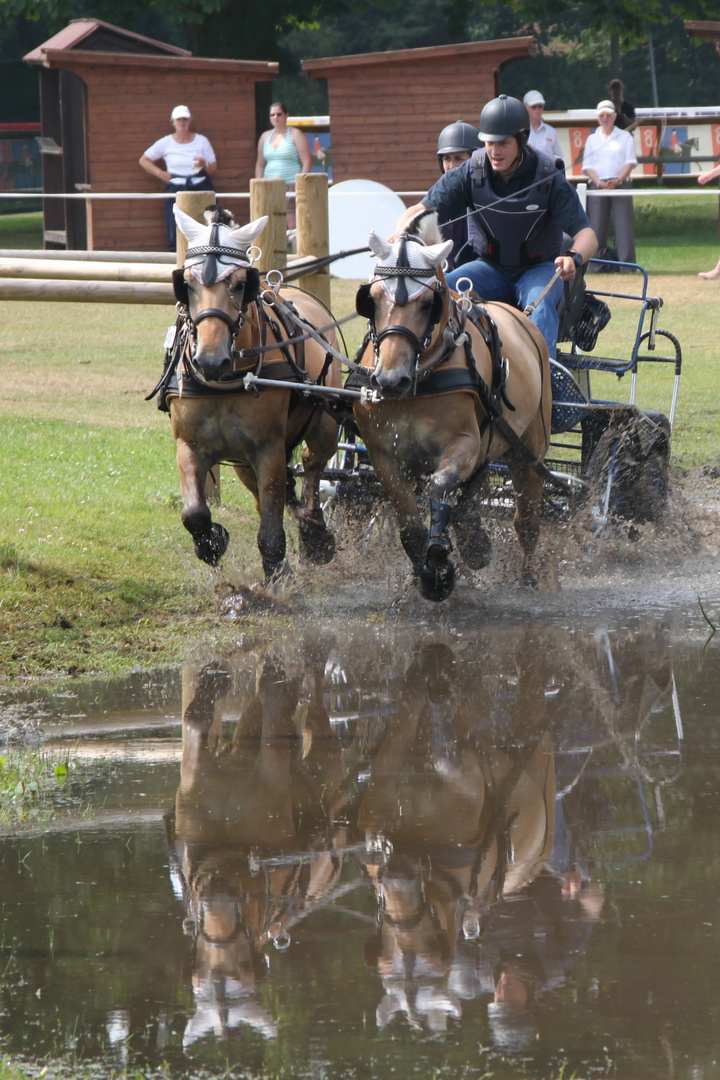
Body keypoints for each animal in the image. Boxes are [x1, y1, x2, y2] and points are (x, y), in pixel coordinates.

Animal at [164, 206, 343, 587]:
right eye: (187, 283)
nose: (210, 360)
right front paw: (212, 541)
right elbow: (194, 513)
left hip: (324, 426)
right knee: (267, 495)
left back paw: (315, 534)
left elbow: (272, 531)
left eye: (238, 284)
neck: (225, 380)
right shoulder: (189, 443)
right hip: (243, 461)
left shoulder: (268, 447)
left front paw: (277, 576)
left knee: (312, 467)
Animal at [354, 210, 552, 600]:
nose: (390, 381)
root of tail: (521, 316)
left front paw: (440, 564)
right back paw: (473, 540)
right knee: (472, 495)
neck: (420, 381)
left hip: (529, 449)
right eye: (372, 297)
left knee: (527, 520)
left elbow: (442, 483)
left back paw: (526, 578)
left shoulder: (464, 442)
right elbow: (409, 522)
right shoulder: (383, 455)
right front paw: (426, 572)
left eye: (427, 303)